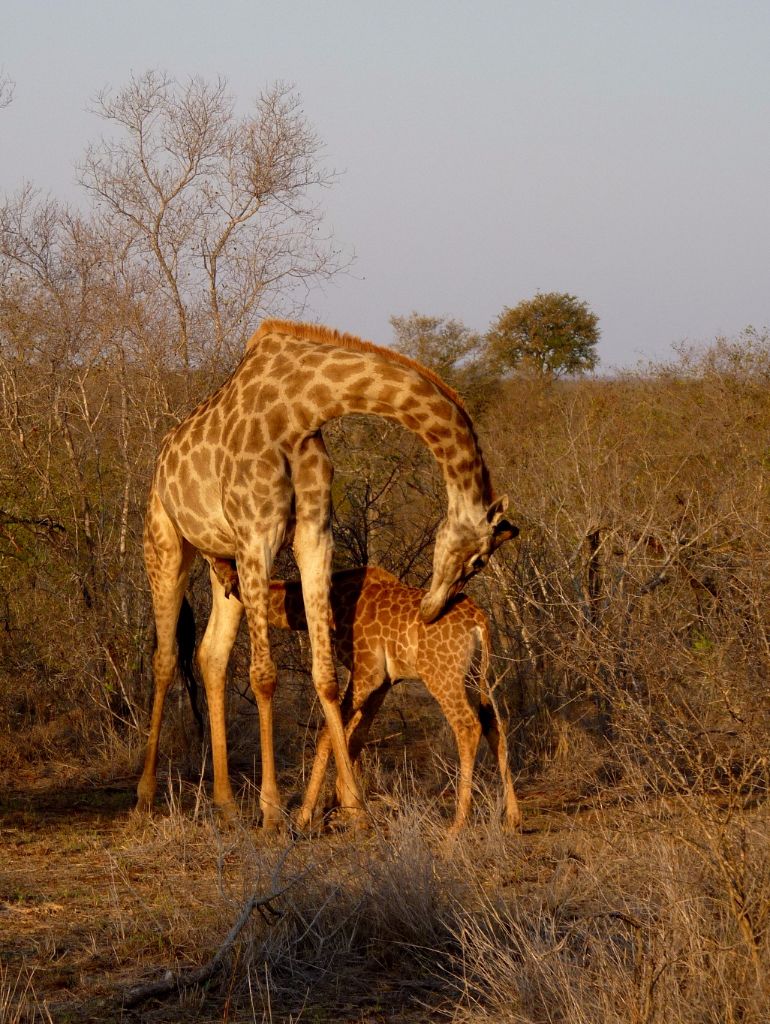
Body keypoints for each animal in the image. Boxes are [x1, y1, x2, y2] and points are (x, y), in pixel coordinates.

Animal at [266, 565, 524, 835]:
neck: (333, 602)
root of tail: (479, 622)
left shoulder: (368, 672)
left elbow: (329, 734)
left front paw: (306, 817)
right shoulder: (384, 682)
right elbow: (355, 738)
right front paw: (339, 807)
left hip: (443, 676)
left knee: (468, 726)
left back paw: (457, 825)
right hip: (477, 675)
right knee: (494, 724)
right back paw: (513, 819)